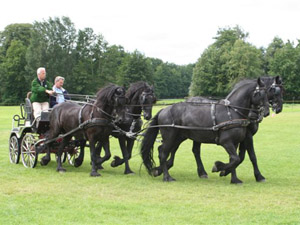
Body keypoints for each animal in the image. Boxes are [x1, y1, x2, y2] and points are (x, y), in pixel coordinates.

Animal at [141, 78, 270, 184]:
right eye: (260, 93)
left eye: (268, 93)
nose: (267, 112)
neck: (232, 112)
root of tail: (164, 110)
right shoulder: (226, 141)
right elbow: (236, 159)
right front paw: (218, 167)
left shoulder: (236, 142)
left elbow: (235, 159)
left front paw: (234, 179)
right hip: (170, 137)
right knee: (163, 153)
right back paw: (167, 177)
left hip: (178, 137)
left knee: (164, 151)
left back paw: (159, 170)